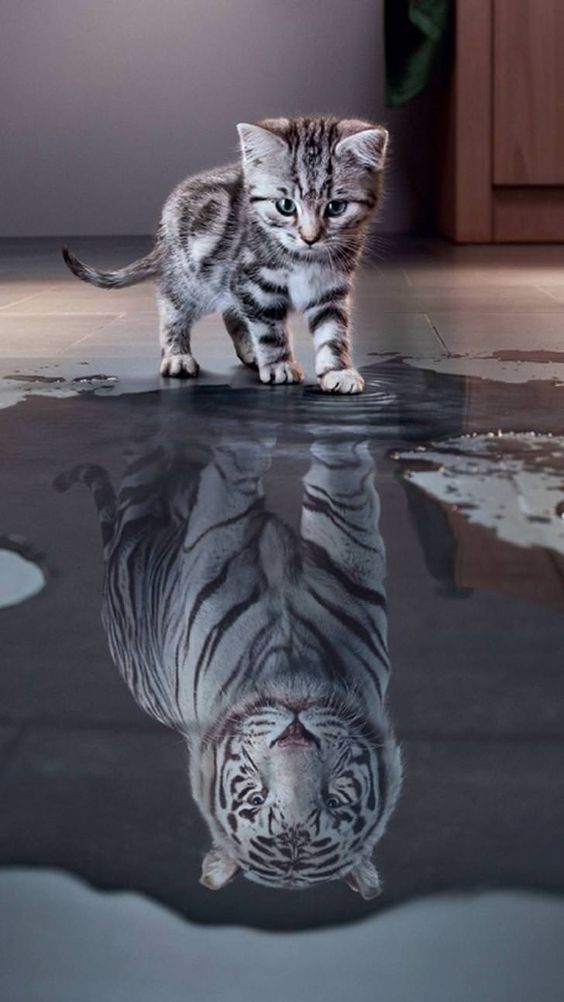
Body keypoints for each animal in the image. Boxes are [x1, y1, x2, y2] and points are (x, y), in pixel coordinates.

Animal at [55, 424, 402, 899]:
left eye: (333, 801)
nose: (296, 732)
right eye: (255, 799)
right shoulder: (221, 549)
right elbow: (247, 483)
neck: (292, 665)